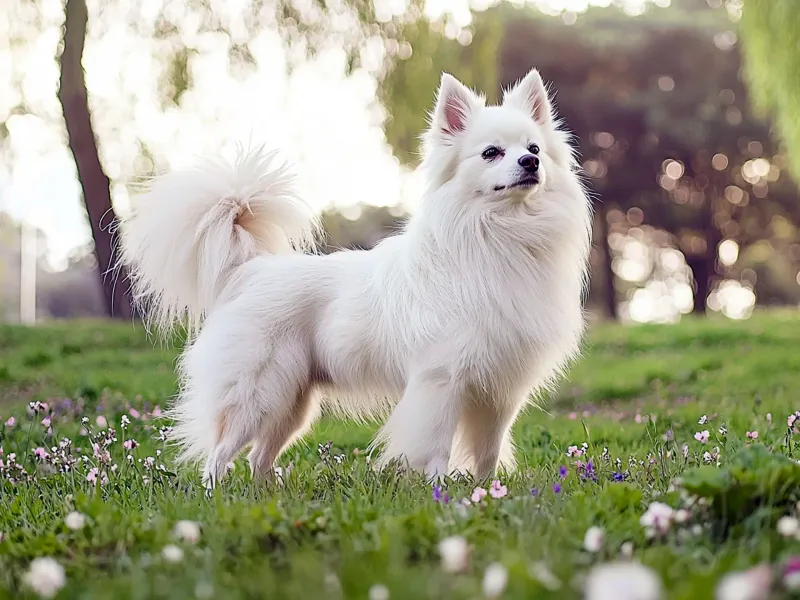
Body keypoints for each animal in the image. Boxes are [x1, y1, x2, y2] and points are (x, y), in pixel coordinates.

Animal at [120, 68, 592, 488]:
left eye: (533, 147)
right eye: (492, 152)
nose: (530, 162)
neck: (502, 235)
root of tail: (250, 269)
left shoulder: (499, 394)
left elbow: (487, 454)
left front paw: (488, 493)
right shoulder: (441, 382)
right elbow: (435, 449)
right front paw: (441, 495)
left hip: (291, 403)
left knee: (258, 458)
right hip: (258, 393)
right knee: (219, 455)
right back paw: (217, 496)